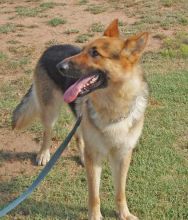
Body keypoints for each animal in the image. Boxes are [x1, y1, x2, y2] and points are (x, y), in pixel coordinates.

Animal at [12, 19, 149, 219]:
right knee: (47, 132)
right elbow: (94, 195)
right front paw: (95, 216)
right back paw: (44, 154)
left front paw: (124, 213)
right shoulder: (96, 158)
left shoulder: (123, 155)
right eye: (83, 49)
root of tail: (51, 48)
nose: (60, 66)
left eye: (95, 53)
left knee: (77, 134)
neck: (113, 108)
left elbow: (120, 191)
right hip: (51, 111)